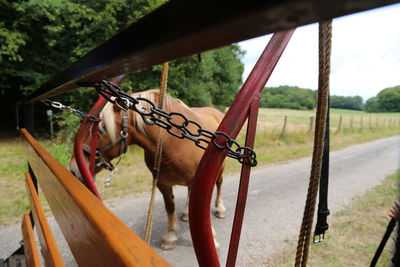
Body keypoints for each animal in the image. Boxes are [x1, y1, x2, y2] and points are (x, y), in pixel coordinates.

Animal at [67, 90, 227, 251]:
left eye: (100, 130)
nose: (73, 169)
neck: (173, 142)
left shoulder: (197, 180)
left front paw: (212, 238)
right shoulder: (162, 182)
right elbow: (170, 206)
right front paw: (171, 235)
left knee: (219, 184)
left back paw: (220, 209)